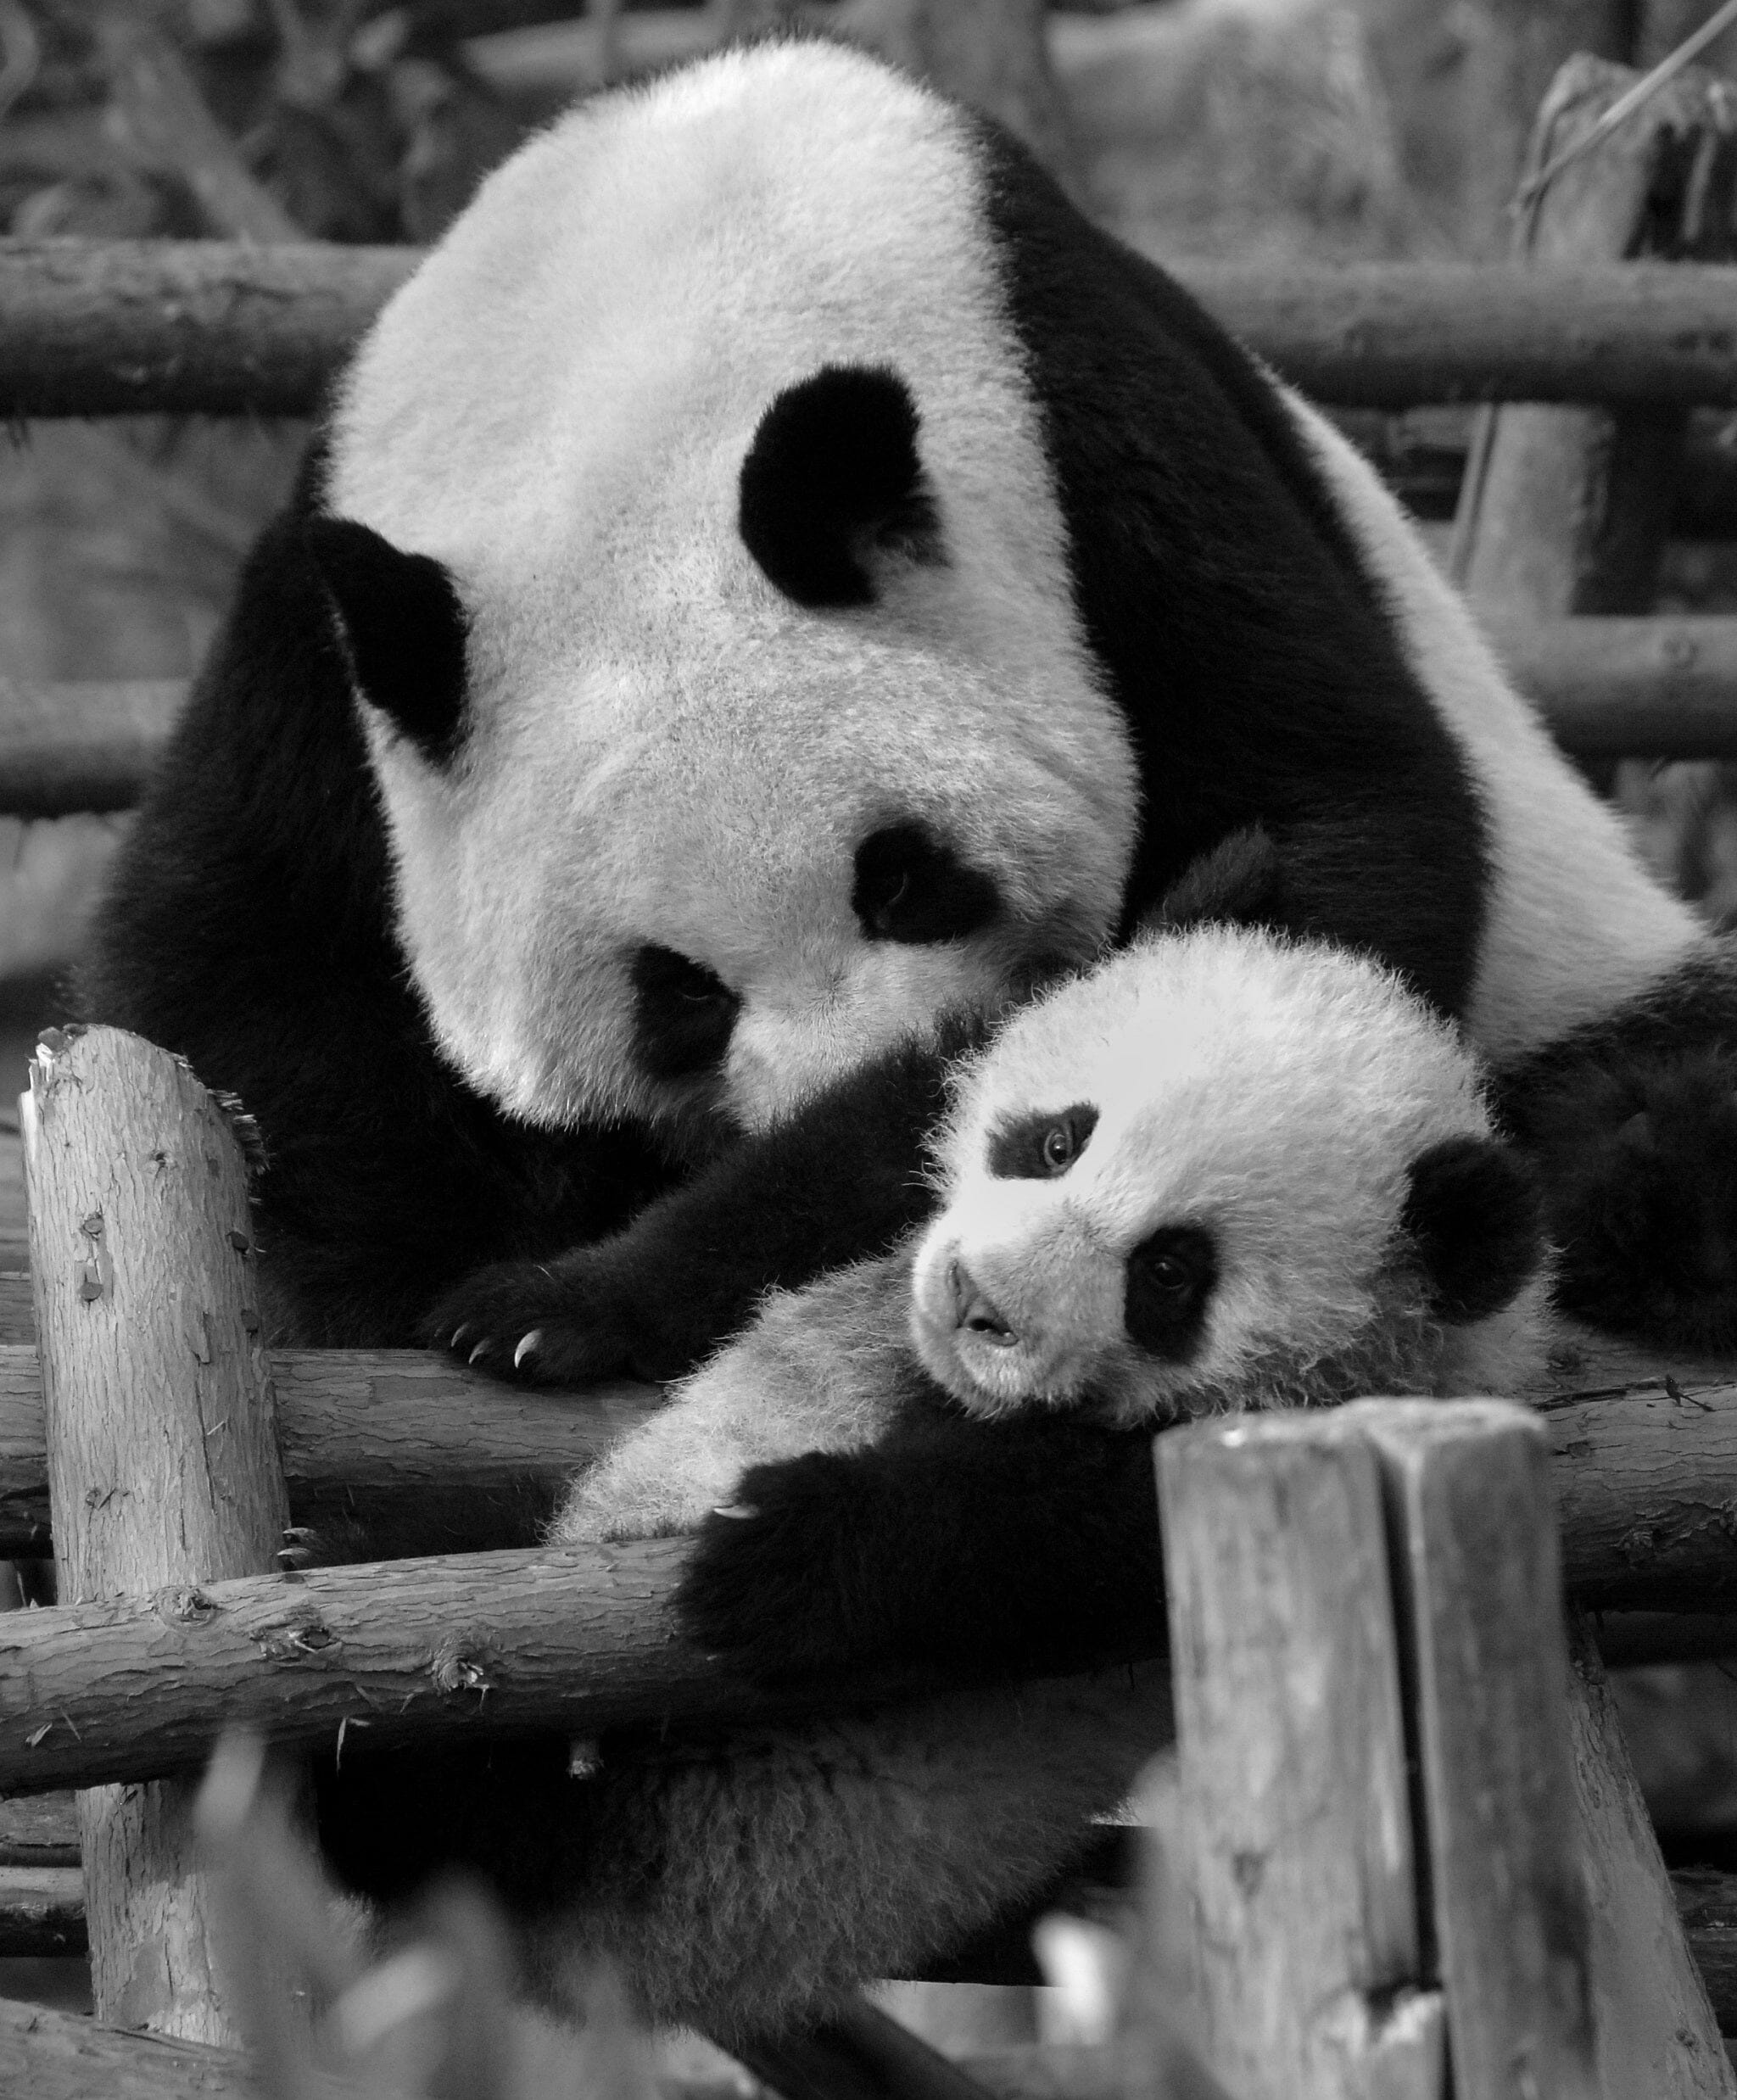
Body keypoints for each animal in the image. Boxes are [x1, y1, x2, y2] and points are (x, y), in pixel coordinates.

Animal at [83, 35, 1734, 1380]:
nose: (893, 1080)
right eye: (675, 995)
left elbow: (1325, 836)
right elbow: (239, 968)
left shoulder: (1099, 439)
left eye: (903, 878)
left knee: (1645, 1117)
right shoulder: (329, 632)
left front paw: (572, 1299)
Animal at [317, 907, 1549, 2040]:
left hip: (661, 1837)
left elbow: (1063, 1529)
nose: (975, 1300)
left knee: (460, 1814)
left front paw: (792, 1547)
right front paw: (542, 1311)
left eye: (1170, 1272)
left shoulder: (1296, 1433)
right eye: (1056, 1141)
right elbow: (824, 1168)